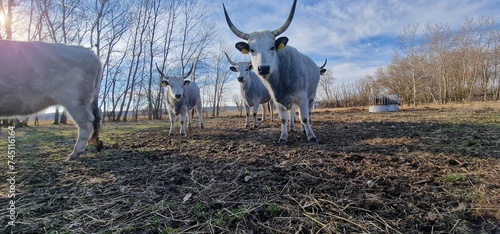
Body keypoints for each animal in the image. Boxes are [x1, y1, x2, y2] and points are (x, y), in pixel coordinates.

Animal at [223, 0, 320, 144]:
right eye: (252, 50)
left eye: (272, 47)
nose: (263, 68)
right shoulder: (275, 99)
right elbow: (283, 119)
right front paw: (283, 137)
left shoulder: (301, 97)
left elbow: (304, 118)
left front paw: (311, 136)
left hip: (311, 96)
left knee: (306, 113)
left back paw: (304, 129)